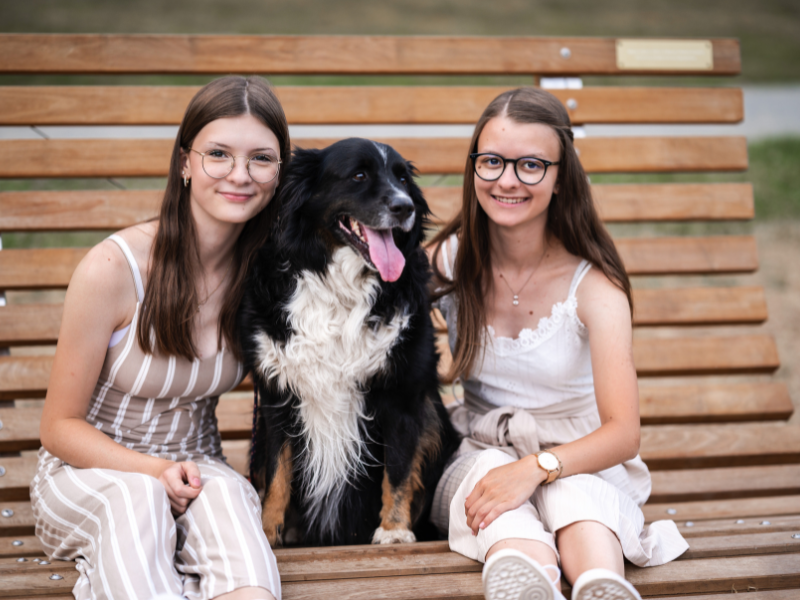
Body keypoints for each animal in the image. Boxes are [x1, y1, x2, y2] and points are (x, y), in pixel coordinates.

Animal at [239, 138, 456, 548]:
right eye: (358, 175)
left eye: (402, 178)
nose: (405, 206)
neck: (342, 289)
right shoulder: (277, 396)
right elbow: (277, 472)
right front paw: (267, 531)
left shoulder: (403, 394)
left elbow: (398, 469)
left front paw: (394, 530)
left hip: (436, 422)